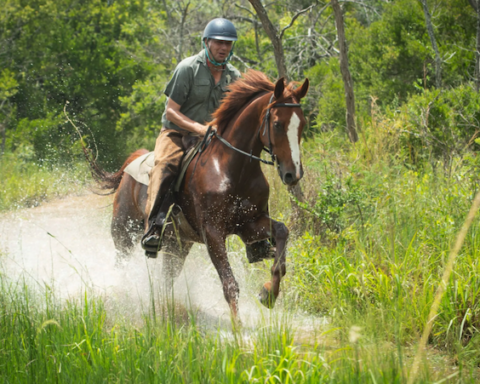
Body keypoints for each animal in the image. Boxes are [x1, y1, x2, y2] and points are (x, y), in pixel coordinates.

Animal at [92, 70, 310, 320]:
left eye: (302, 124)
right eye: (277, 123)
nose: (293, 173)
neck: (233, 169)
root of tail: (134, 160)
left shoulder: (249, 224)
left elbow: (282, 237)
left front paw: (268, 294)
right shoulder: (213, 232)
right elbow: (230, 284)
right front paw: (238, 327)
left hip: (177, 246)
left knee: (165, 280)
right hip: (124, 234)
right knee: (122, 267)